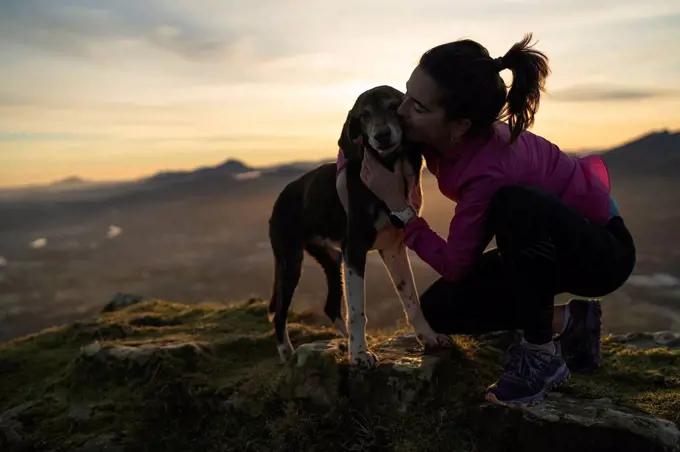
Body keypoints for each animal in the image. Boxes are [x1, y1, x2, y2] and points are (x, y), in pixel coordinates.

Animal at [268, 86, 454, 370]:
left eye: (393, 106)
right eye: (364, 114)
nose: (382, 135)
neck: (392, 169)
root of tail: (280, 197)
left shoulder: (393, 248)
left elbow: (411, 300)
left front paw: (429, 337)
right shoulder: (354, 249)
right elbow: (357, 311)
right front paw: (359, 355)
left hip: (332, 259)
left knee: (330, 305)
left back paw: (343, 340)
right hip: (291, 261)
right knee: (279, 313)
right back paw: (288, 354)